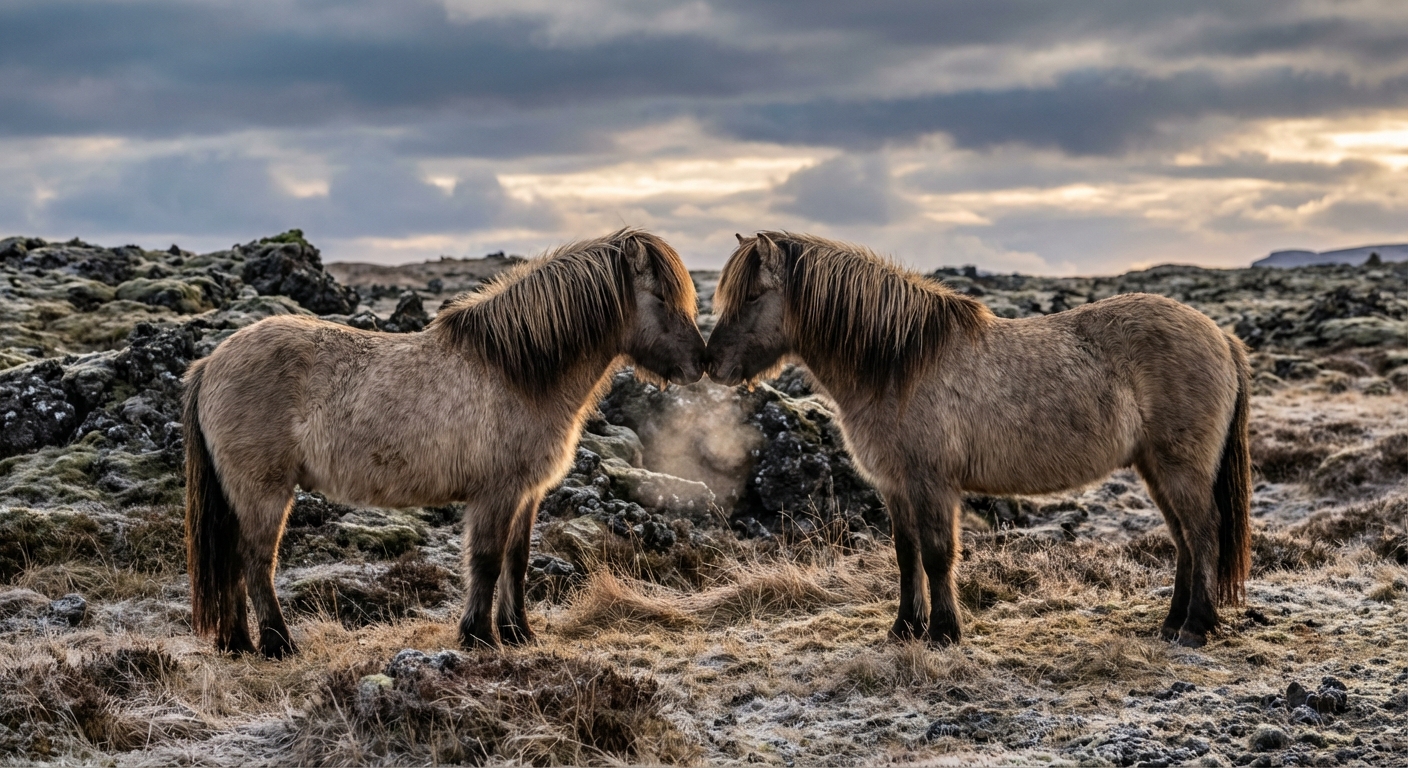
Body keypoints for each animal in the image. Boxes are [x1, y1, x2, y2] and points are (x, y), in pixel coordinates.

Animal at [184, 228, 705, 657]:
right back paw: (277, 644)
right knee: (255, 562)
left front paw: (519, 634)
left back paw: (237, 643)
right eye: (661, 296)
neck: (518, 372)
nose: (701, 363)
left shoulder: (526, 494)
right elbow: (488, 560)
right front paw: (479, 636)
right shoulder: (496, 493)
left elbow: (517, 560)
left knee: (232, 563)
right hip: (264, 490)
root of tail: (209, 363)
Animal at [705, 232, 1251, 648]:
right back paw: (1172, 623)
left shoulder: (932, 483)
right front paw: (904, 629)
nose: (713, 365)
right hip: (1155, 467)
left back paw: (1196, 627)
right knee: (1184, 539)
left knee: (1204, 532)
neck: (898, 364)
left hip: (1180, 467)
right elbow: (905, 555)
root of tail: (1222, 337)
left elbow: (937, 554)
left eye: (752, 296)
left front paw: (944, 633)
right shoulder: (895, 485)